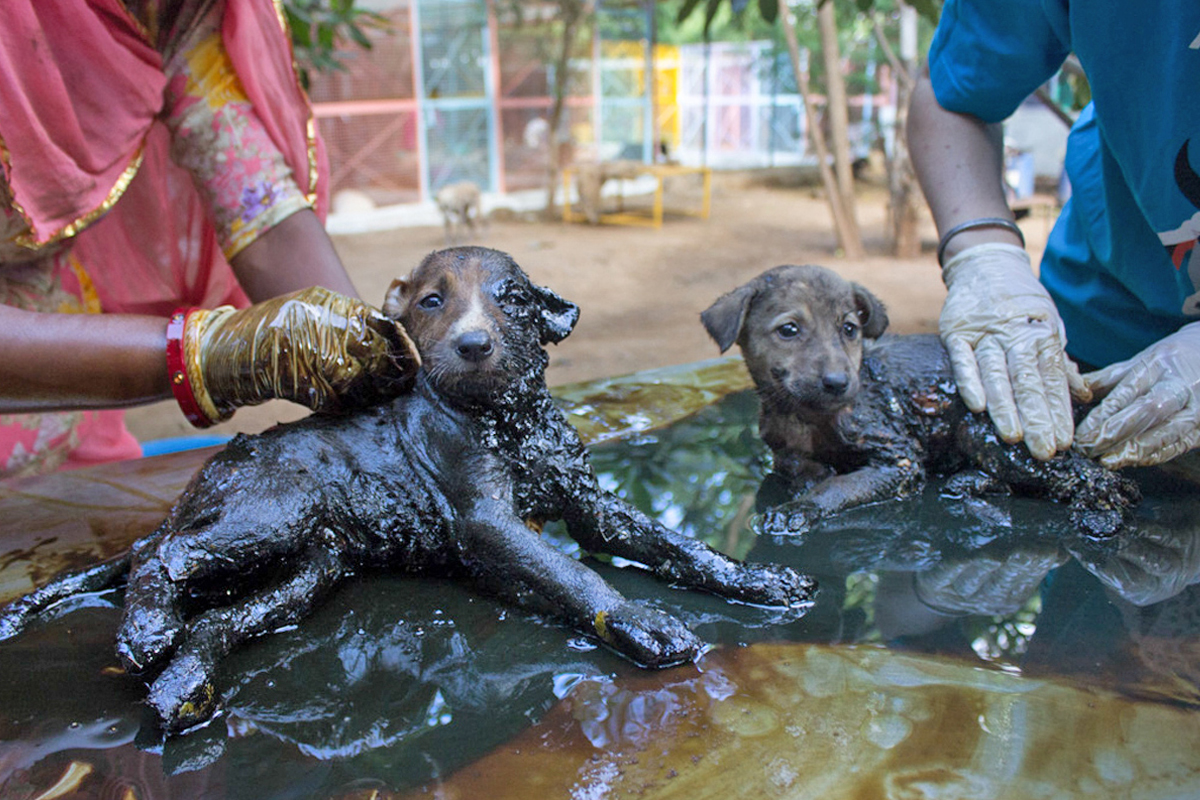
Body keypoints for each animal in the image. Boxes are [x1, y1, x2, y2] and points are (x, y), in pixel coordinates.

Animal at [700, 266, 1142, 542]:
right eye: (789, 330)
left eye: (849, 329)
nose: (839, 383)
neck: (807, 415)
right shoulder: (783, 447)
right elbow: (796, 464)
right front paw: (810, 477)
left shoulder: (899, 456)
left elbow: (841, 485)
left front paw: (802, 506)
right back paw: (967, 482)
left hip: (986, 431)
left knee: (1097, 476)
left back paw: (1100, 512)